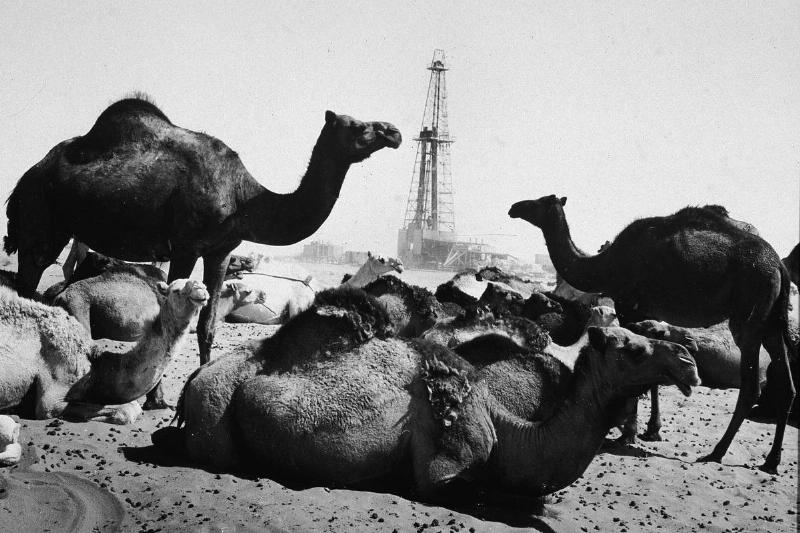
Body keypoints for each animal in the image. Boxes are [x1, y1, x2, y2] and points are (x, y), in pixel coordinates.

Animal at [0, 279, 207, 423]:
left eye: (201, 283)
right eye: (176, 290)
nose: (201, 290)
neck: (94, 362)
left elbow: (132, 407)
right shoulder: (51, 398)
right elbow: (128, 410)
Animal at [4, 96, 401, 366]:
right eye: (355, 126)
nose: (393, 131)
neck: (243, 199)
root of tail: (26, 176)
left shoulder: (220, 251)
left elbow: (207, 327)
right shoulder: (184, 247)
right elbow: (169, 319)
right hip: (39, 219)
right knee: (26, 284)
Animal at [509, 194, 796, 472]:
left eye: (540, 202)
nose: (514, 207)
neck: (605, 265)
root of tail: (780, 267)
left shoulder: (629, 307)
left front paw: (629, 432)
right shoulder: (648, 312)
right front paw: (650, 429)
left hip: (749, 315)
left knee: (750, 387)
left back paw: (717, 452)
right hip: (772, 320)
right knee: (786, 382)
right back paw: (772, 461)